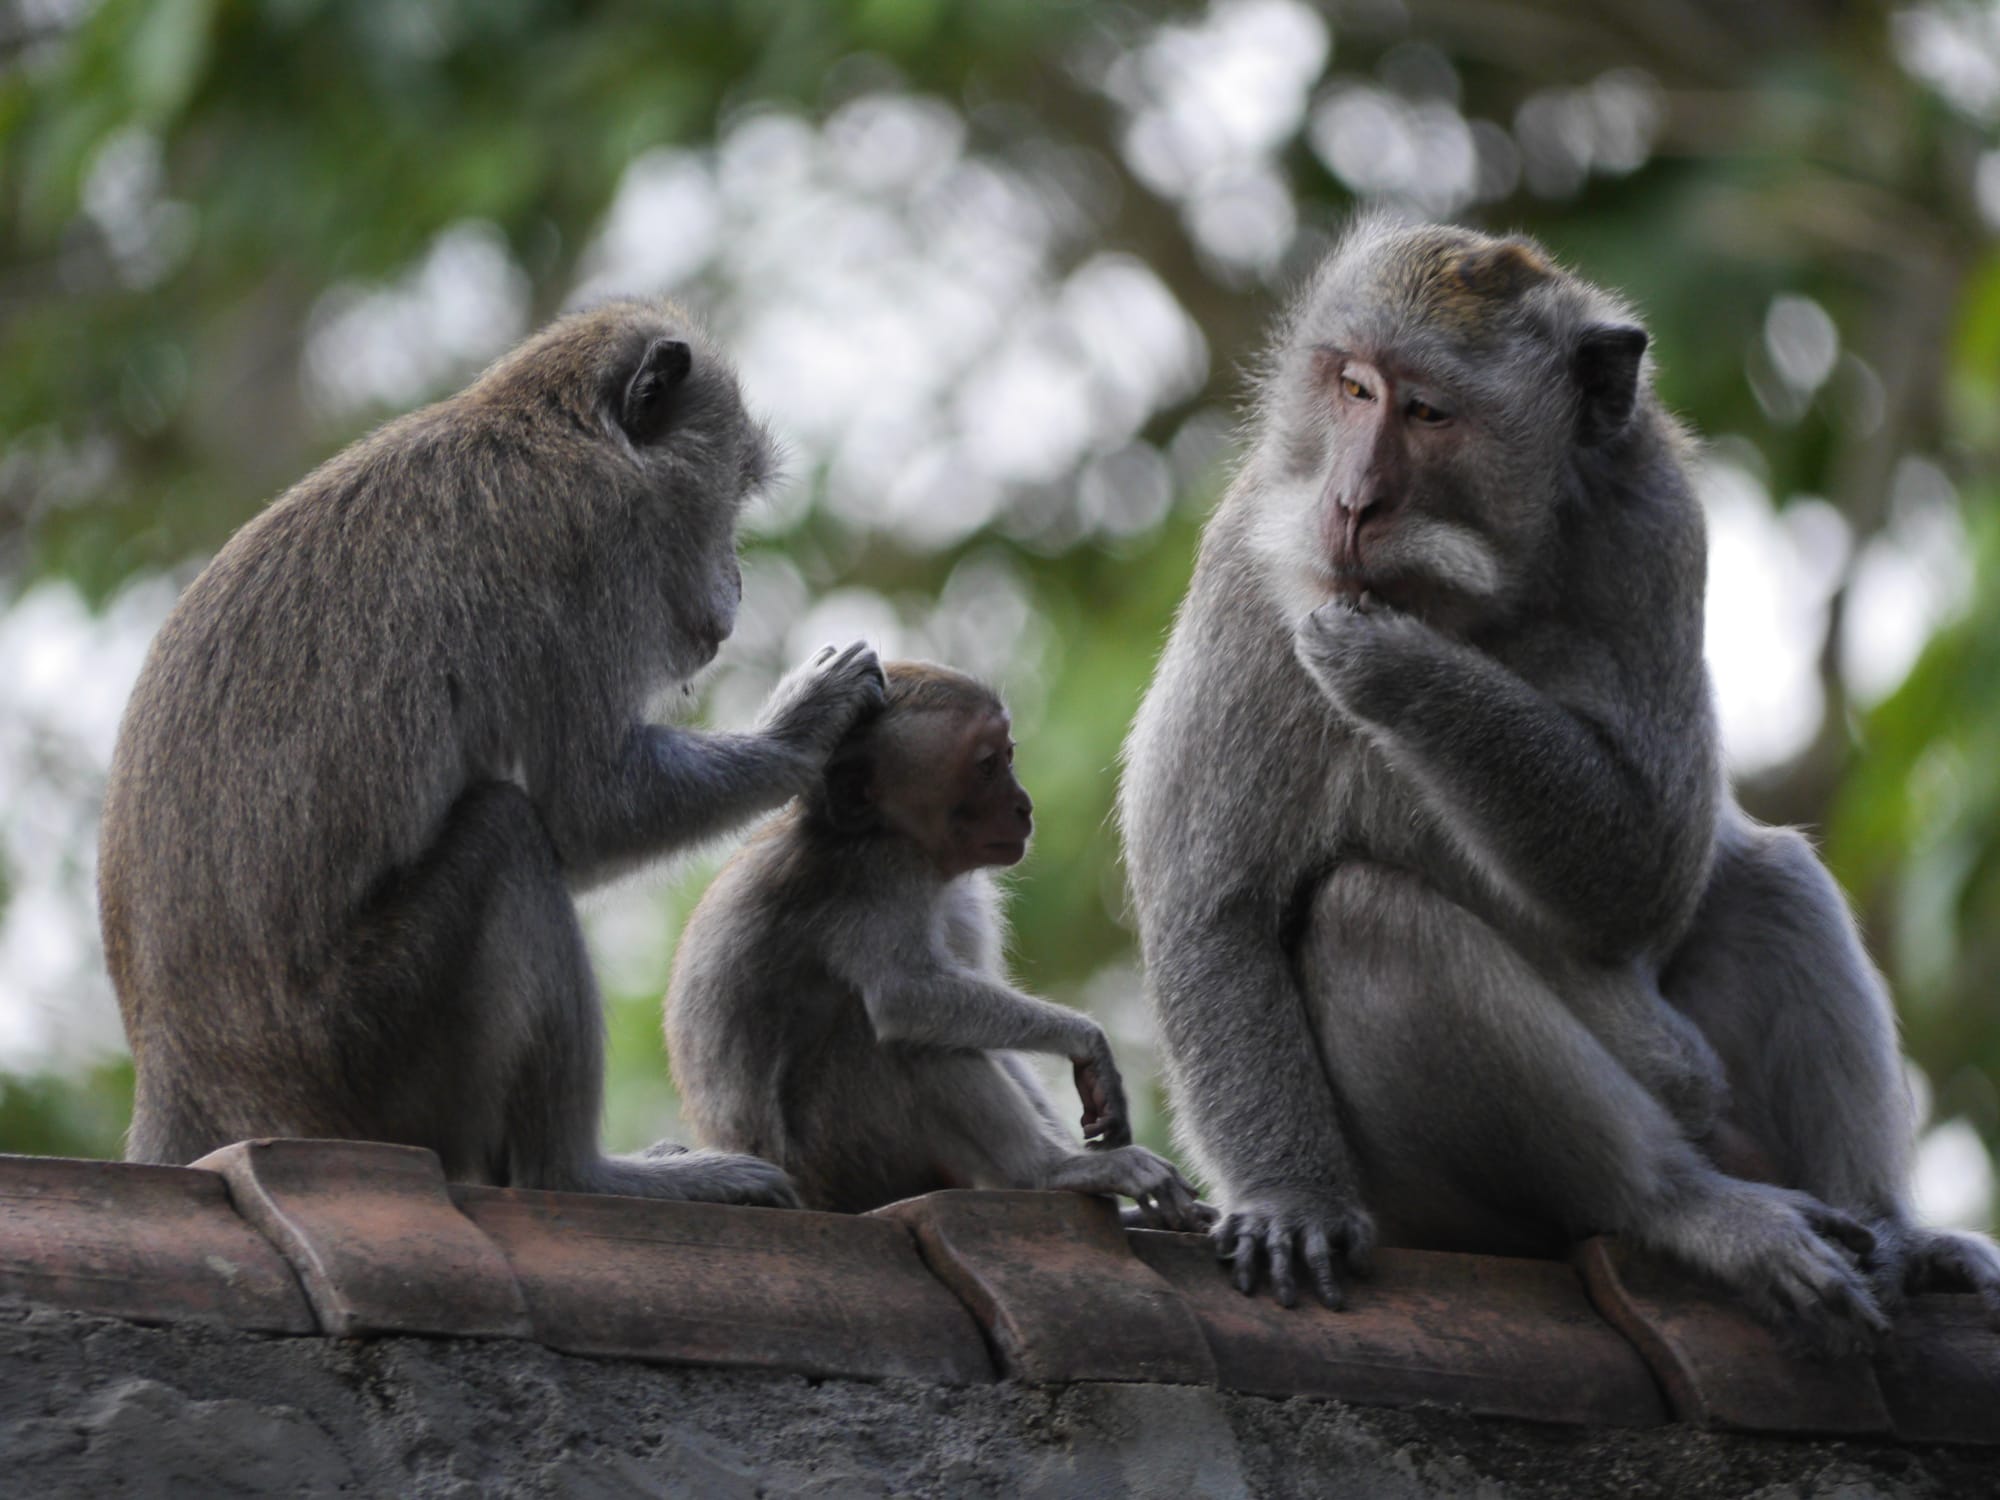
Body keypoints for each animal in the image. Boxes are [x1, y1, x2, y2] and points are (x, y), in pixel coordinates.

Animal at [99, 296, 884, 1208]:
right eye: (734, 489)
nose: (738, 585)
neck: (554, 428)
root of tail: (182, 1079)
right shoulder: (595, 552)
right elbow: (593, 811)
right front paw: (808, 724)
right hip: (369, 1056)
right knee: (507, 835)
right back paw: (583, 1176)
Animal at [668, 660, 1200, 1232]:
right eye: (987, 766)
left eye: (1008, 755)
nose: (1024, 805)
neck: (896, 837)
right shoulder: (878, 877)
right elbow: (906, 997)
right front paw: (1086, 1039)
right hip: (847, 1154)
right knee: (908, 1039)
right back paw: (1047, 1172)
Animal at [1120, 217, 1992, 1360]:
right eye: (1352, 388)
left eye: (1427, 412)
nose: (1352, 502)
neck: (1488, 590)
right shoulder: (1253, 565)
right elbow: (1212, 900)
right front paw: (1288, 1198)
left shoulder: (1660, 525)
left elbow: (1647, 872)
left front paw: (1402, 668)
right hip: (1433, 1204)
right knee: (1369, 924)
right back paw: (1681, 1209)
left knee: (1764, 876)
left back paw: (1889, 1234)